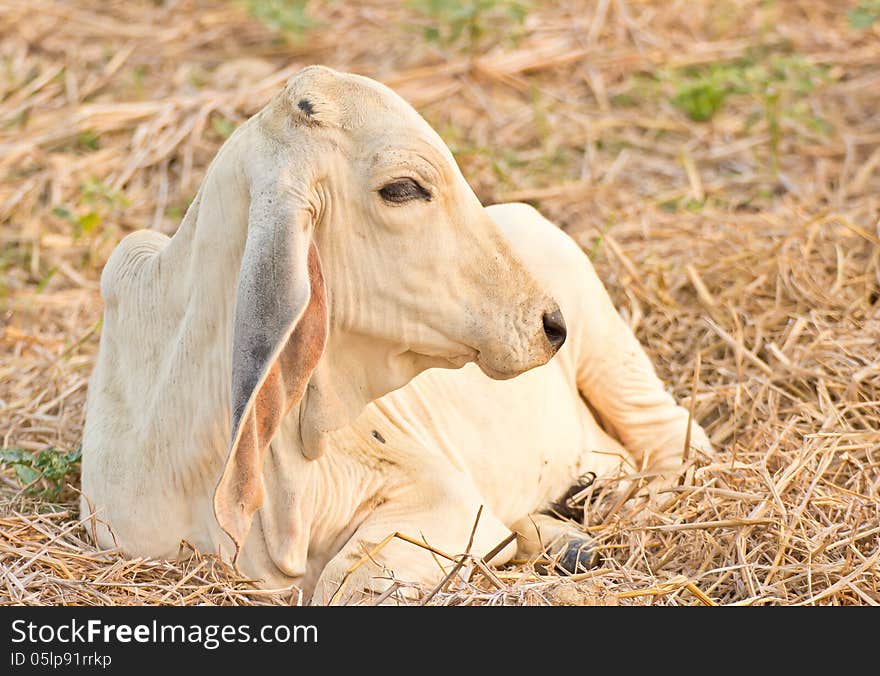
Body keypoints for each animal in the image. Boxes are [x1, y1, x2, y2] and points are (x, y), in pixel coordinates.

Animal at [81, 64, 716, 604]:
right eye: (404, 189)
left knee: (676, 442)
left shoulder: (440, 498)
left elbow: (342, 584)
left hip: (612, 352)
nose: (551, 323)